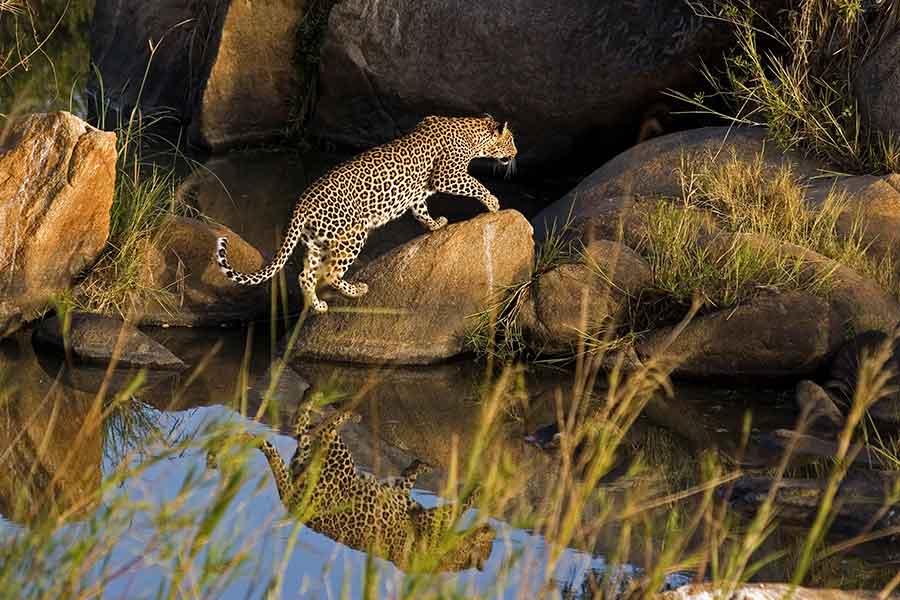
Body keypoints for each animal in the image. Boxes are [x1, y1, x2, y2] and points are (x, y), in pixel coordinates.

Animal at [211, 405, 496, 573]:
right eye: (491, 546)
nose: (492, 531)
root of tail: (292, 502)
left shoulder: (400, 494)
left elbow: (407, 480)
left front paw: (421, 465)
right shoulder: (433, 519)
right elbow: (461, 506)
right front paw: (480, 490)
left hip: (319, 457)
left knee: (303, 428)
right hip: (341, 459)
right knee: (319, 428)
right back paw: (344, 409)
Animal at [214, 115, 518, 313]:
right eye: (512, 140)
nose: (516, 153)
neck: (473, 132)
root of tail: (301, 204)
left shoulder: (420, 192)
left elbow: (420, 210)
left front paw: (435, 224)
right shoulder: (447, 175)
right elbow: (475, 184)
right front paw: (493, 203)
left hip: (318, 242)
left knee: (306, 275)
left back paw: (318, 306)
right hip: (352, 235)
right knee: (331, 273)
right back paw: (356, 290)